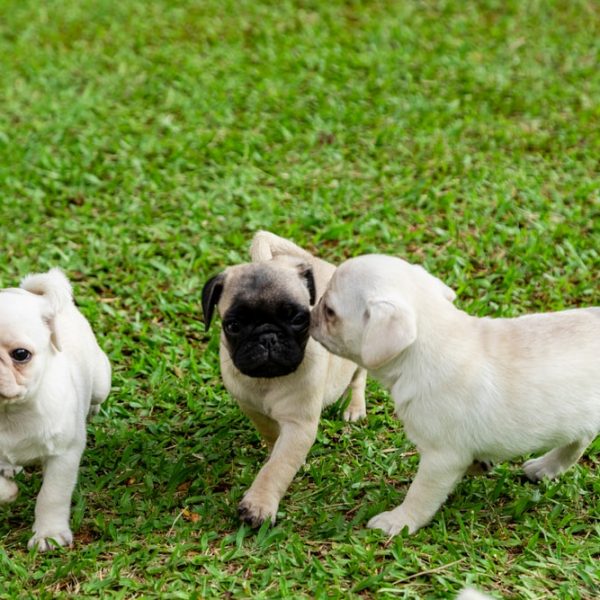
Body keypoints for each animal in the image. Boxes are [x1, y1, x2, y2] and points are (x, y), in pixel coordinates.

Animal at [0, 270, 111, 552]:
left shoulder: (64, 453)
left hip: (101, 382)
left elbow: (51, 496)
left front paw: (49, 535)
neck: (7, 414)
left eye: (21, 354)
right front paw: (8, 492)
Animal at [312, 255, 596, 536]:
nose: (311, 311)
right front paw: (480, 464)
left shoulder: (441, 458)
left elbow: (419, 495)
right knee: (578, 442)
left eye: (330, 311)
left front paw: (398, 521)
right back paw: (545, 468)